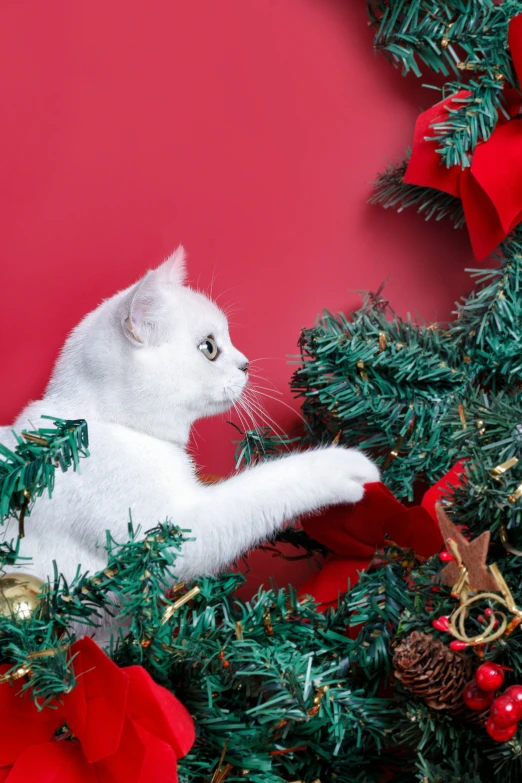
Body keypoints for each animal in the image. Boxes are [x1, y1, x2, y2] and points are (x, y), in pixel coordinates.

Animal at [0, 248, 376, 584]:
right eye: (209, 348)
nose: (245, 364)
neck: (93, 425)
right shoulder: (169, 533)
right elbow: (267, 485)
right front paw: (344, 465)